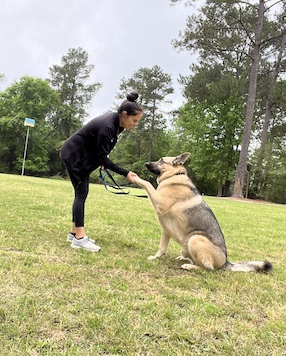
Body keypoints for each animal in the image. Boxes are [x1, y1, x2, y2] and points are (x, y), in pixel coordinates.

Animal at [133, 152, 272, 272]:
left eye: (161, 160)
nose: (146, 163)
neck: (175, 175)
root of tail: (226, 262)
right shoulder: (166, 231)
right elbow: (162, 248)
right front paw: (155, 257)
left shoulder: (160, 203)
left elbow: (147, 183)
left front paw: (135, 178)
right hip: (187, 246)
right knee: (195, 260)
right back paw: (184, 259)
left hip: (195, 238)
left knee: (207, 267)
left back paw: (189, 266)